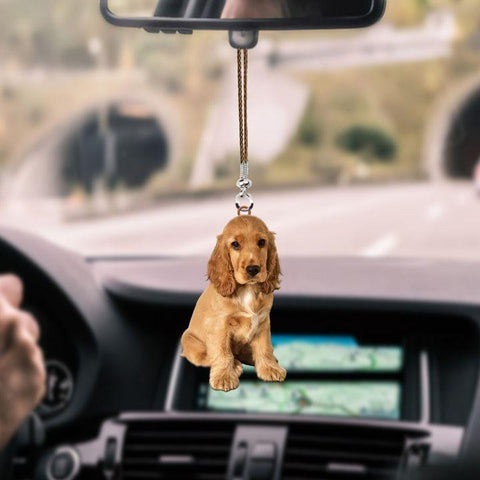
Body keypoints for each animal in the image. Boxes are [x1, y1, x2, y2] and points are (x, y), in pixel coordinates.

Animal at [180, 216, 284, 392]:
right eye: (235, 244)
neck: (247, 289)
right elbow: (222, 352)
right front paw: (224, 377)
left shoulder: (263, 321)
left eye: (262, 242)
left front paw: (269, 368)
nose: (253, 269)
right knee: (210, 357)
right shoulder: (219, 325)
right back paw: (235, 365)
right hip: (190, 341)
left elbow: (264, 347)